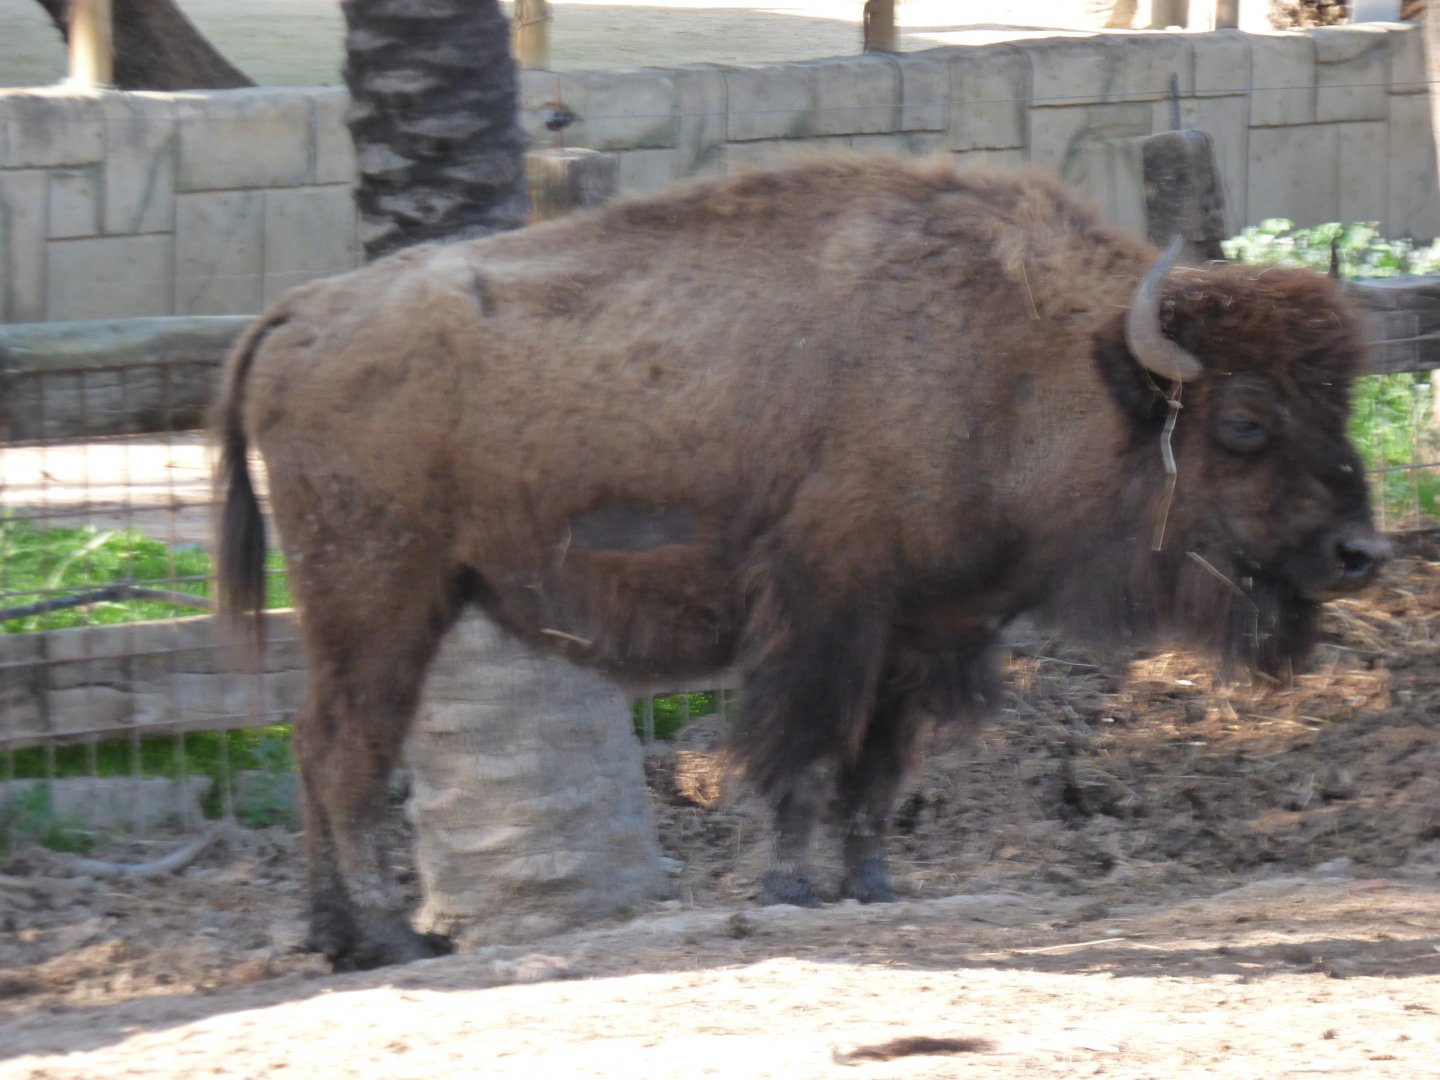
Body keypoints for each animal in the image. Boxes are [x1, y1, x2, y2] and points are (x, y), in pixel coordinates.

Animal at [214, 155, 1387, 970]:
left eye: (1340, 400)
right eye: (1244, 421)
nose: (1361, 552)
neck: (1031, 365)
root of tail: (303, 309)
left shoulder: (929, 630)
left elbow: (878, 771)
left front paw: (873, 885)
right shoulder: (827, 612)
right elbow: (807, 754)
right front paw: (788, 888)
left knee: (314, 743)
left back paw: (336, 936)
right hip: (380, 593)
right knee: (345, 749)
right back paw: (389, 937)